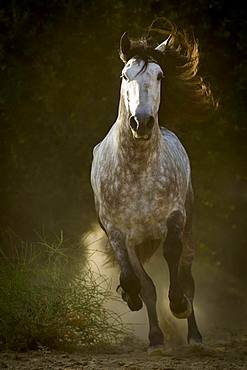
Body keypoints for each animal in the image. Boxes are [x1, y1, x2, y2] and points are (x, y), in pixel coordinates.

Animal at [90, 23, 214, 350]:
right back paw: (156, 336)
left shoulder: (175, 218)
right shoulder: (119, 232)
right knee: (145, 282)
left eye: (159, 76)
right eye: (125, 75)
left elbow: (172, 256)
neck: (136, 171)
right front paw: (130, 297)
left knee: (187, 274)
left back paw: (194, 334)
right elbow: (137, 280)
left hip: (189, 227)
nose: (141, 122)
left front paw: (178, 305)